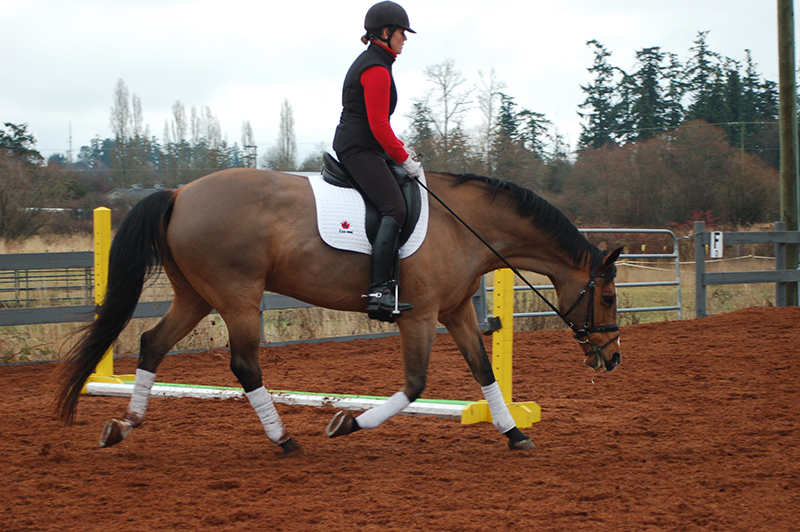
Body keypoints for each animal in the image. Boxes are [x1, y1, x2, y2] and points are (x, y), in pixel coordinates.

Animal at [55, 166, 622, 456]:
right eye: (610, 296)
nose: (613, 358)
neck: (466, 225)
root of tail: (179, 193)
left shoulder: (456, 310)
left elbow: (484, 371)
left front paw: (515, 433)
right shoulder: (419, 316)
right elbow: (414, 384)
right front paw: (346, 424)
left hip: (196, 296)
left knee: (152, 343)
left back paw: (124, 426)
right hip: (237, 296)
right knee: (244, 364)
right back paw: (284, 440)